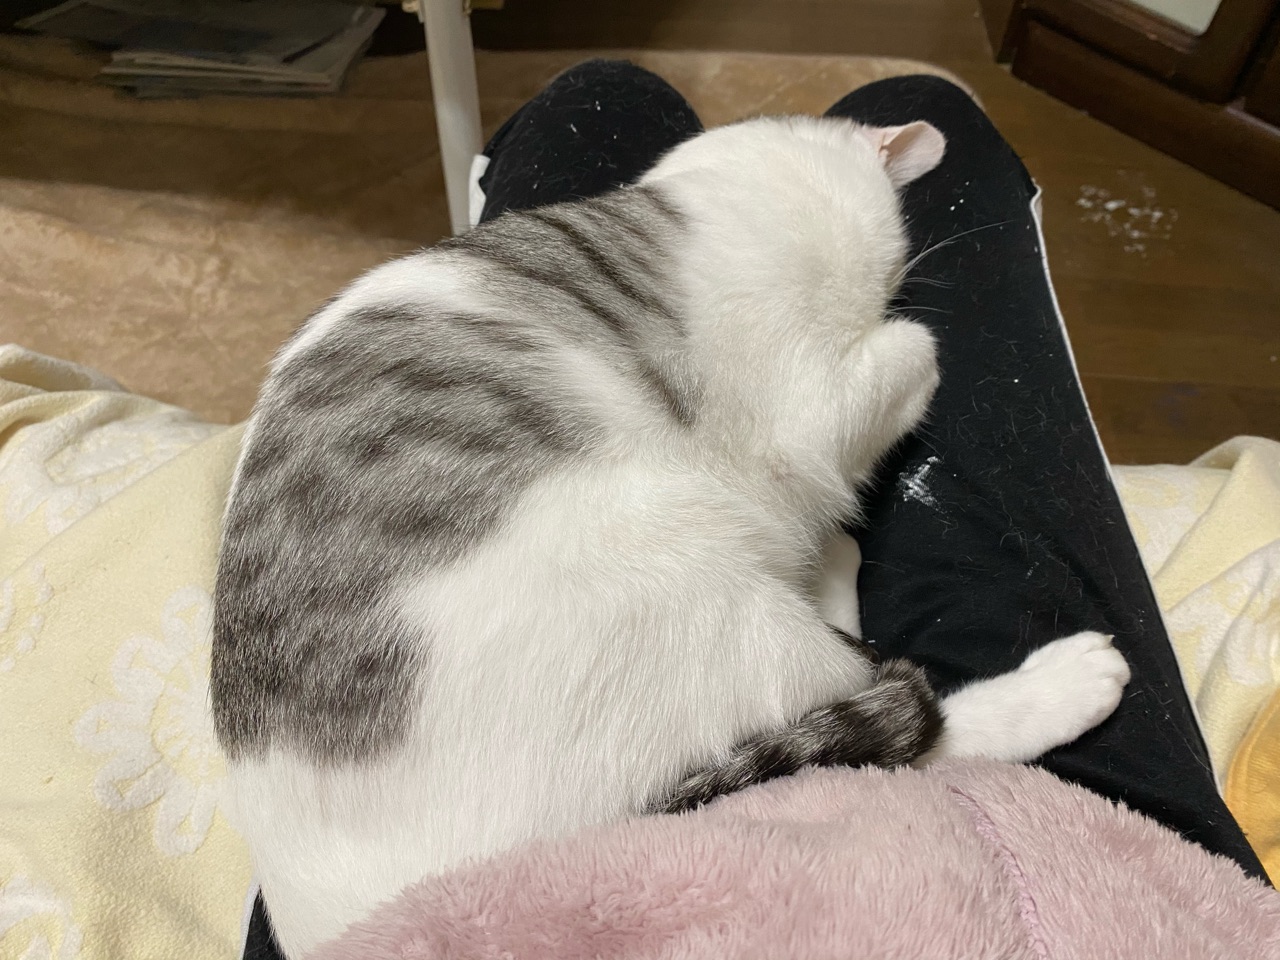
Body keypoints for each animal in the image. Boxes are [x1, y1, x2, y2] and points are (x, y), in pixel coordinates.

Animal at [212, 115, 1130, 958]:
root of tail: (359, 919)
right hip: (693, 596)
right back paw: (1062, 683)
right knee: (899, 746)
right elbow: (914, 351)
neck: (714, 186)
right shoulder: (805, 409)